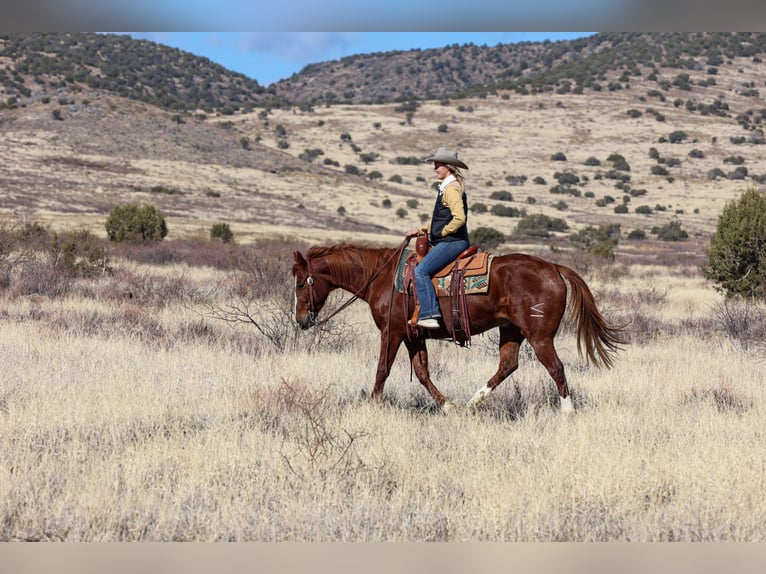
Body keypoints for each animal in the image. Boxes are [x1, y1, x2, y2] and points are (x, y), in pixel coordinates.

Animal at [292, 242, 628, 414]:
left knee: (556, 368)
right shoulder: (414, 335)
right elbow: (423, 373)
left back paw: (567, 412)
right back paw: (471, 403)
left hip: (540, 336)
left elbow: (382, 369)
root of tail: (554, 269)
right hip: (511, 331)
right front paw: (447, 406)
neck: (383, 276)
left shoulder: (392, 332)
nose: (301, 319)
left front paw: (372, 405)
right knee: (508, 365)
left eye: (299, 283)